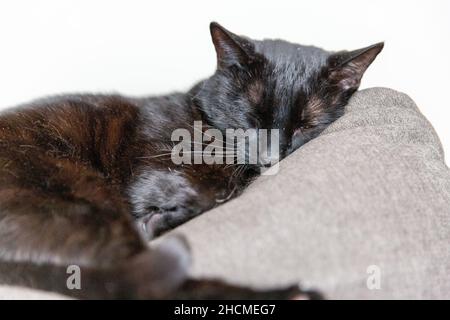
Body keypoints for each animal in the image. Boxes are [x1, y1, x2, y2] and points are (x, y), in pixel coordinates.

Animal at [0, 21, 384, 298]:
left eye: (306, 125)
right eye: (252, 117)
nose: (270, 157)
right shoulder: (151, 166)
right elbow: (211, 189)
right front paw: (159, 214)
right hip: (82, 203)